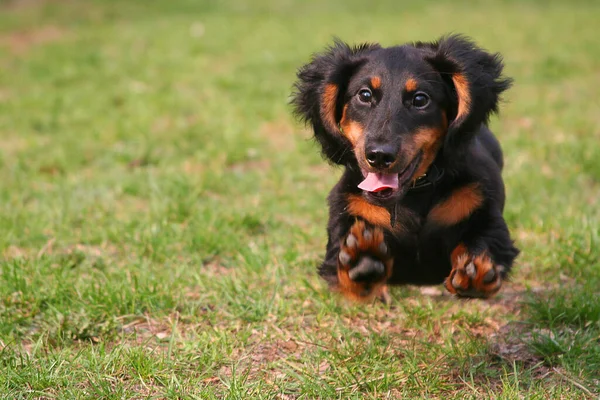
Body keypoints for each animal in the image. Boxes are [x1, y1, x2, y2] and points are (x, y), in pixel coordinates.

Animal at [292, 35, 516, 304]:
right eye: (364, 95)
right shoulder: (347, 218)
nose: (379, 155)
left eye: (420, 99)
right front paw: (362, 261)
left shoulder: (482, 209)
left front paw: (476, 270)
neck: (413, 194)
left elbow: (484, 241)